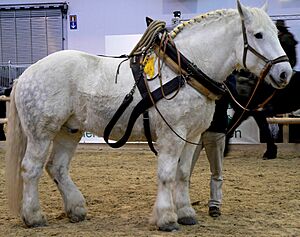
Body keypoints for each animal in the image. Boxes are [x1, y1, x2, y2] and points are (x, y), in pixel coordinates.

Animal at [4, 0, 290, 231]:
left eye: (276, 34)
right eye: (258, 35)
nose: (285, 73)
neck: (183, 70)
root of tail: (27, 73)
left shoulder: (192, 135)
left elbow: (183, 174)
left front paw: (186, 213)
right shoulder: (172, 135)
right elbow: (167, 174)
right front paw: (166, 218)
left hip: (69, 131)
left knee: (58, 168)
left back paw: (76, 209)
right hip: (42, 133)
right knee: (31, 169)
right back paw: (34, 216)